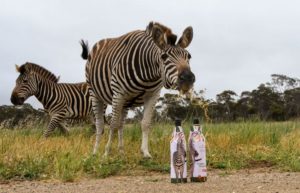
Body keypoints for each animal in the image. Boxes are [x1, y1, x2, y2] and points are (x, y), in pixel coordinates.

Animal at [81, 21, 196, 157]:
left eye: (189, 56)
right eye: (163, 57)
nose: (188, 78)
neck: (149, 74)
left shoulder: (153, 95)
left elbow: (145, 123)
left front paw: (145, 152)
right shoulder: (118, 94)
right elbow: (113, 124)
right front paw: (106, 153)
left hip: (125, 102)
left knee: (121, 124)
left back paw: (121, 151)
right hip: (95, 94)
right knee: (100, 124)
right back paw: (95, 152)